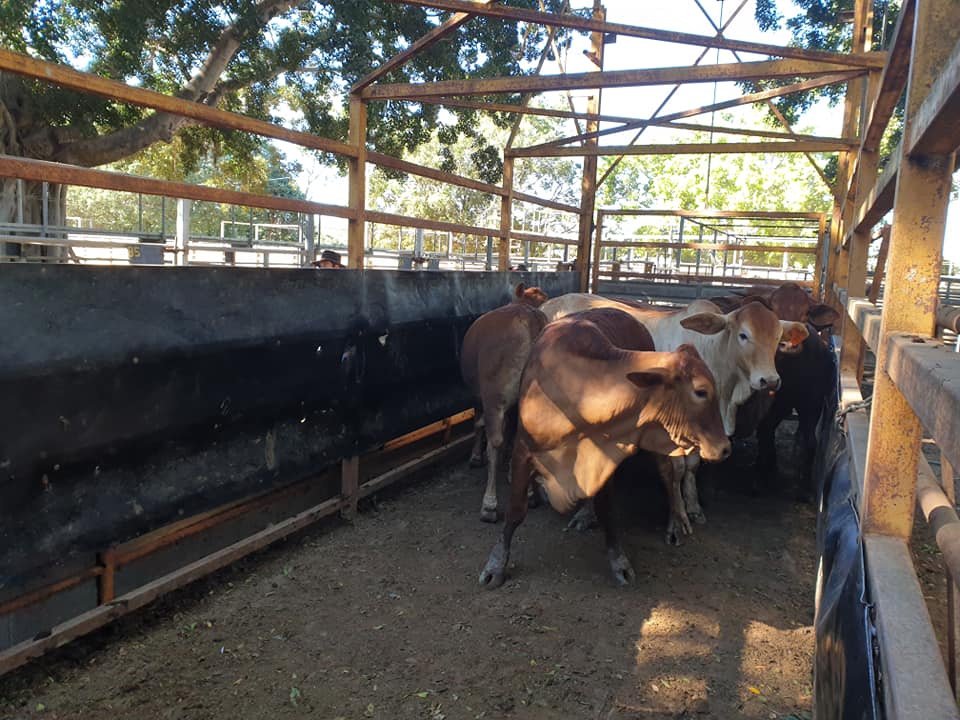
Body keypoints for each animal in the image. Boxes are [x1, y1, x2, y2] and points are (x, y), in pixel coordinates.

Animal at [460, 283, 549, 522]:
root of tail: (529, 316)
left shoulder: (478, 396)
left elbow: (478, 425)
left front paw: (475, 457)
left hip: (494, 397)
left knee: (495, 441)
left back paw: (489, 504)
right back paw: (530, 493)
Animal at [478, 307, 731, 589]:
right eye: (701, 391)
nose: (724, 448)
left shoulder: (606, 456)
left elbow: (608, 510)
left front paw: (619, 562)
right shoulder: (523, 451)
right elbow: (515, 511)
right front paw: (495, 565)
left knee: (668, 472)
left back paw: (675, 522)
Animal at [539, 293, 807, 541]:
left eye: (777, 338)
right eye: (743, 335)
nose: (769, 380)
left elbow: (693, 466)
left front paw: (694, 507)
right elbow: (677, 469)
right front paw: (678, 518)